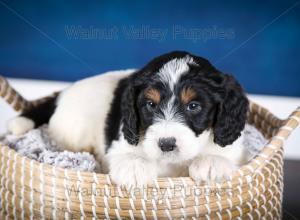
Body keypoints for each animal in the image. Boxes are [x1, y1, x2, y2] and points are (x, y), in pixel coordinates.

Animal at [8, 51, 250, 187]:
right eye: (150, 105)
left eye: (193, 106)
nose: (166, 144)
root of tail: (62, 93)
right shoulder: (120, 142)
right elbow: (127, 155)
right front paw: (135, 167)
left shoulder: (234, 147)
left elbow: (223, 152)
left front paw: (212, 163)